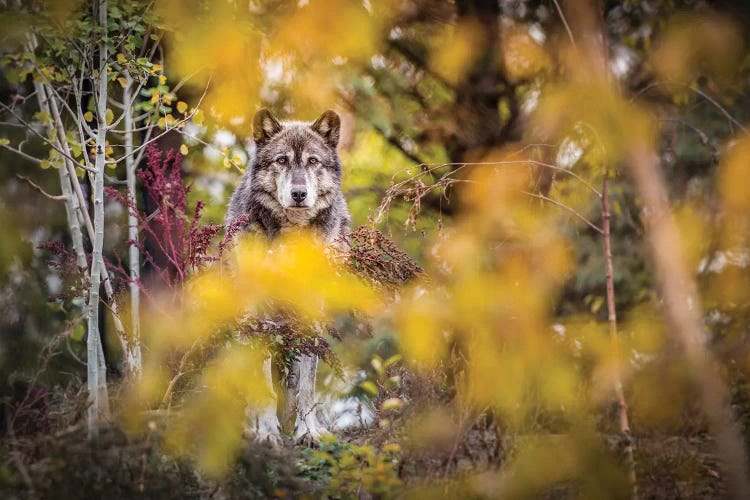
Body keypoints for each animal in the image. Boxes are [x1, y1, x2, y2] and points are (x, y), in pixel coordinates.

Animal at [225, 109, 352, 446]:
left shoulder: (310, 316)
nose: (298, 193)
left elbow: (306, 387)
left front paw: (309, 432)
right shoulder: (258, 318)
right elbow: (264, 390)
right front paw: (267, 433)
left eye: (312, 161)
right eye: (281, 160)